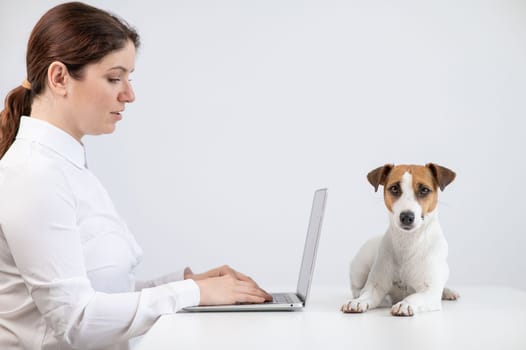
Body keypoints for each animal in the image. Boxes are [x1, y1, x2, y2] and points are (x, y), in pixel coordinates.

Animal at [342, 163, 462, 316]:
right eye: (394, 188)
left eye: (424, 190)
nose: (406, 216)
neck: (408, 243)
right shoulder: (376, 285)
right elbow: (367, 293)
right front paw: (359, 301)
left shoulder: (429, 292)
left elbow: (414, 296)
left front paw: (404, 304)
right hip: (359, 265)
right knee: (356, 287)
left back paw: (448, 292)